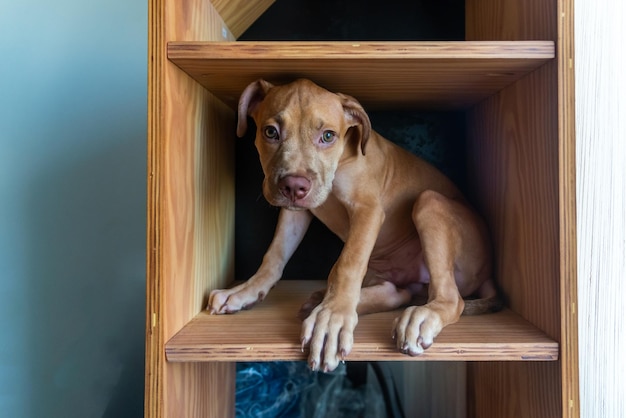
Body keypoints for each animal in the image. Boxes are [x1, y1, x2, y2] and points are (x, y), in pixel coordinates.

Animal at [210, 79, 498, 372]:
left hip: (430, 202)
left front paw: (332, 319)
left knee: (451, 298)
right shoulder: (295, 212)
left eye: (328, 136)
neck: (341, 160)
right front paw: (245, 291)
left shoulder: (367, 209)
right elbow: (275, 254)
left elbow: (346, 264)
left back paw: (419, 315)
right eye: (270, 132)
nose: (294, 187)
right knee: (398, 293)